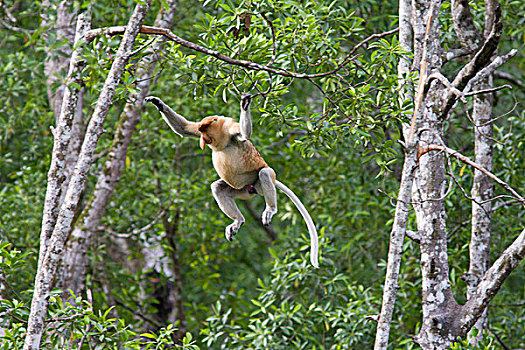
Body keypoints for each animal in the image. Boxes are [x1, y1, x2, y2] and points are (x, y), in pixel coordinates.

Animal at [144, 94, 320, 266]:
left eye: (205, 130)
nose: (202, 140)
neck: (220, 137)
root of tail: (251, 187)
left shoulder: (230, 128)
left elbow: (244, 134)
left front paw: (245, 104)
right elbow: (185, 128)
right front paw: (157, 102)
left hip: (259, 182)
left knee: (264, 173)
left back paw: (270, 209)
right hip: (243, 190)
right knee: (217, 187)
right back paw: (238, 221)